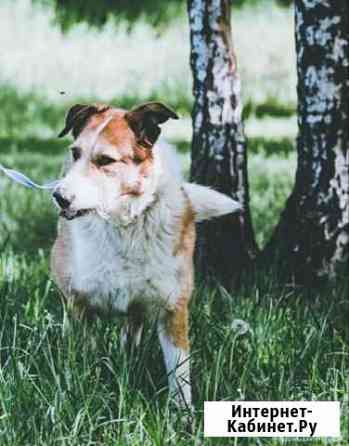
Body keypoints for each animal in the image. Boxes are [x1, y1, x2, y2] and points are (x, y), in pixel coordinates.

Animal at [50, 103, 241, 410]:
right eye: (75, 153)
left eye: (105, 160)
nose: (59, 197)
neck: (124, 225)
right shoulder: (79, 303)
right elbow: (81, 359)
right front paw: (79, 392)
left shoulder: (174, 308)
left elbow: (180, 373)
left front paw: (183, 415)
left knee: (132, 332)